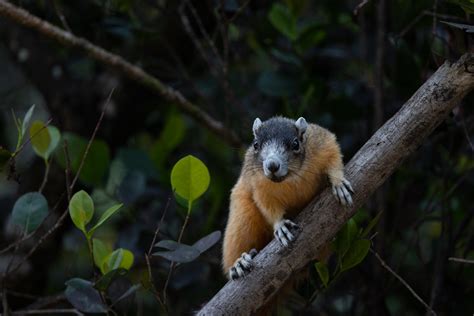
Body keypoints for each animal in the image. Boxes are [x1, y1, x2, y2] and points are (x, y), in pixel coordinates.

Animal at [222, 116, 352, 278]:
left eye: (296, 144)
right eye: (256, 145)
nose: (272, 165)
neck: (289, 177)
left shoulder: (321, 143)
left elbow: (334, 158)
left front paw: (339, 183)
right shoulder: (259, 186)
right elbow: (268, 206)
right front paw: (280, 226)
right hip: (242, 219)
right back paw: (238, 263)